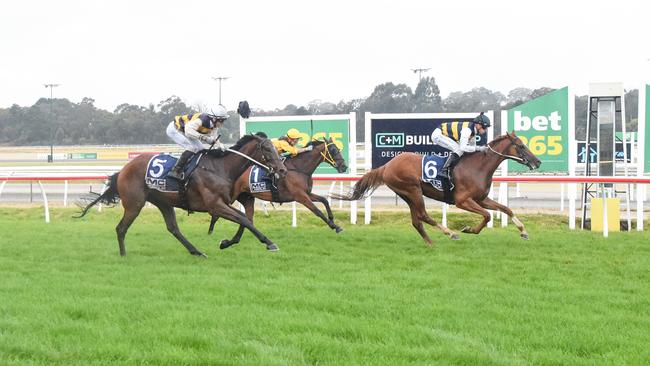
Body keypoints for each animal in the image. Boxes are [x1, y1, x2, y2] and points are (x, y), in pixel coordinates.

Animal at [76, 134, 286, 258]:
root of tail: (123, 170)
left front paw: (226, 243)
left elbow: (244, 218)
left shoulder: (222, 204)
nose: (282, 170)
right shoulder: (215, 205)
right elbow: (244, 219)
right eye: (267, 149)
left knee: (173, 228)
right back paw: (123, 255)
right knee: (121, 228)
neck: (220, 168)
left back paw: (197, 251)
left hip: (164, 202)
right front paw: (270, 243)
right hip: (135, 204)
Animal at [210, 137, 346, 249]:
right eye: (333, 150)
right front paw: (334, 226)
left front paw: (333, 221)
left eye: (338, 149)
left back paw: (227, 243)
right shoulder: (301, 196)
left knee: (246, 219)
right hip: (231, 196)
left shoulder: (307, 194)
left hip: (246, 197)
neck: (298, 168)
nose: (344, 166)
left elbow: (324, 200)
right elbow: (317, 211)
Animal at [336, 132, 540, 246]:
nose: (537, 161)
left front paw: (523, 231)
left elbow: (506, 209)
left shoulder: (481, 199)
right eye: (521, 146)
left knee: (416, 221)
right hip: (412, 190)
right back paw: (451, 233)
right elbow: (488, 216)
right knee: (423, 215)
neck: (477, 166)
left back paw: (430, 243)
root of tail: (387, 165)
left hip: (407, 195)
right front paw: (468, 229)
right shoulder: (462, 201)